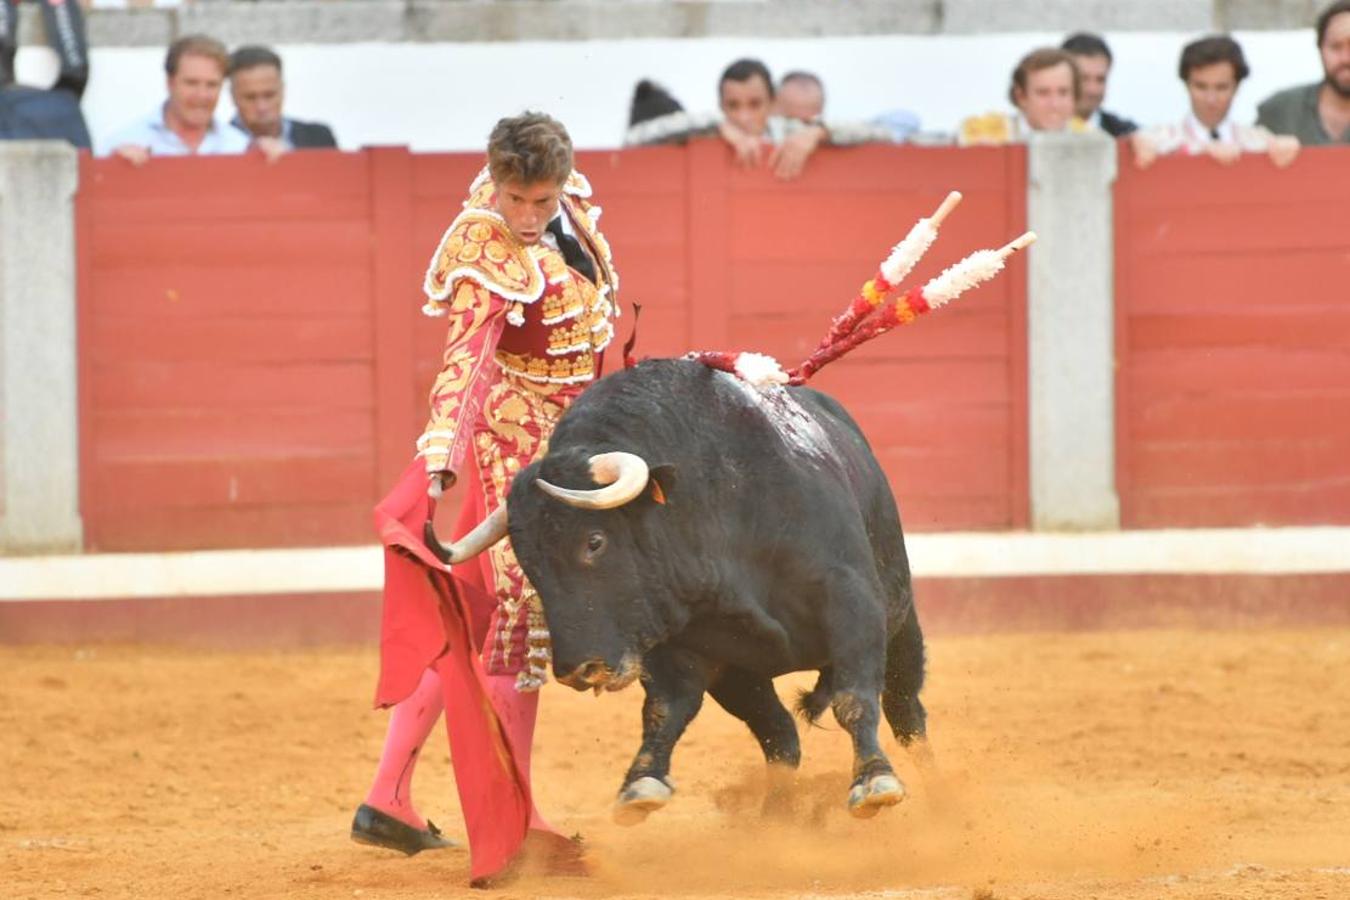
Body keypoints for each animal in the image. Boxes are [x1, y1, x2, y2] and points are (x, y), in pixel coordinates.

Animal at [440, 358, 928, 825]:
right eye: (527, 562)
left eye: (594, 542)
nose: (580, 670)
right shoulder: (681, 642)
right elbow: (665, 709)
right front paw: (640, 784)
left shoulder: (851, 602)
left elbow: (854, 697)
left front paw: (874, 782)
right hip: (743, 677)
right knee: (780, 734)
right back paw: (775, 821)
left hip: (900, 622)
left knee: (906, 711)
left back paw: (931, 791)